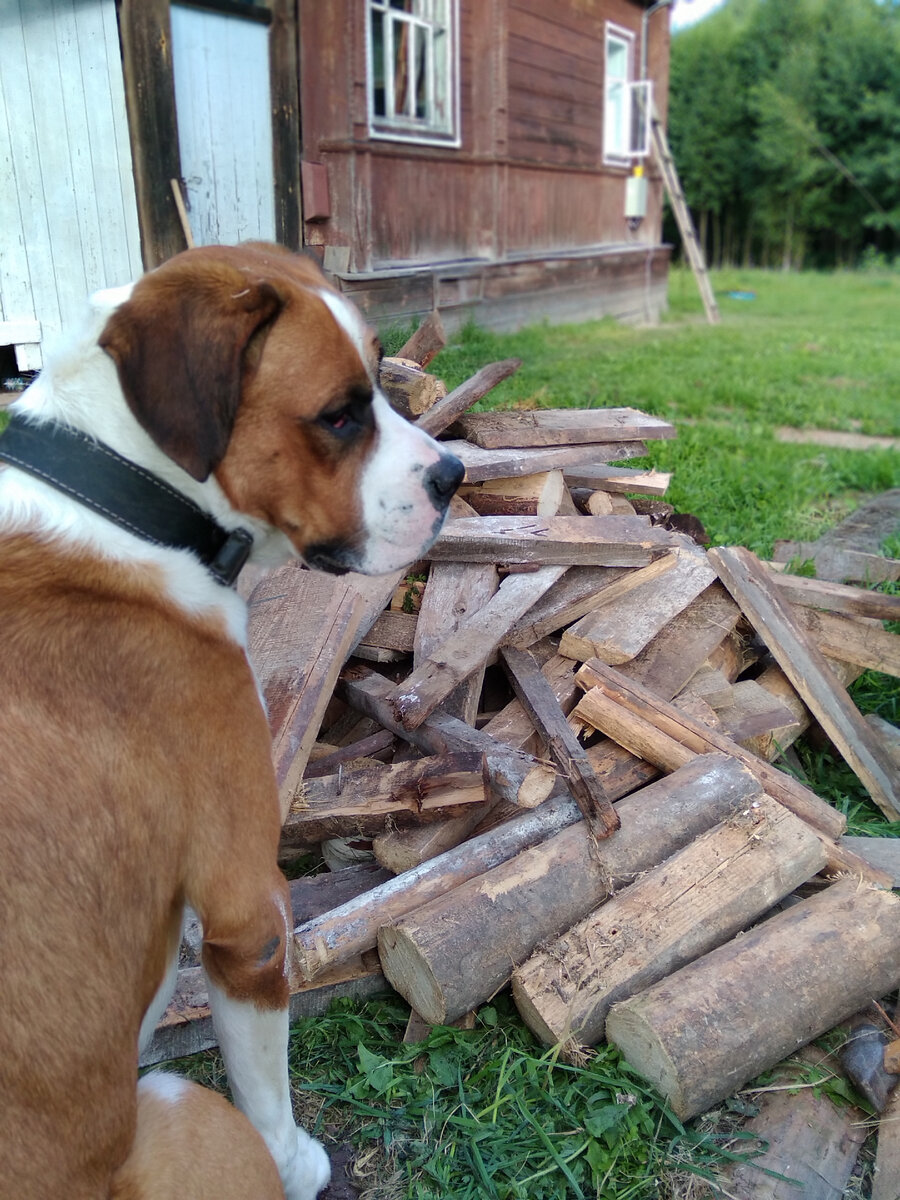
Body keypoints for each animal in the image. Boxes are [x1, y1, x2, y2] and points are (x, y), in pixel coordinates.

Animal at [0, 246, 465, 1200]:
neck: (120, 496)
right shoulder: (249, 913)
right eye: (338, 416)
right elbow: (265, 1085)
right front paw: (295, 1163)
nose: (454, 476)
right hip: (177, 1099)